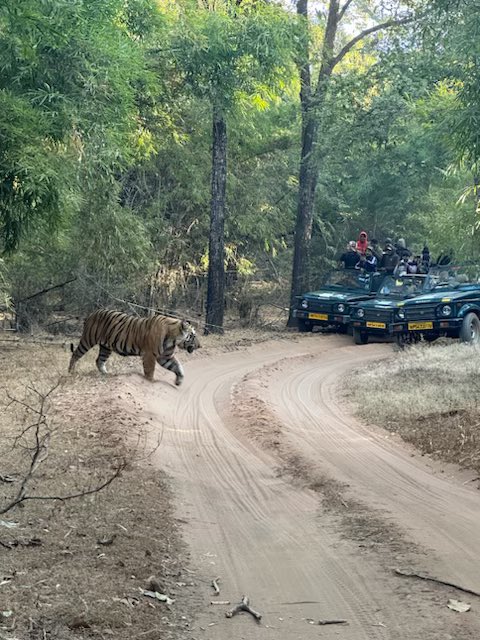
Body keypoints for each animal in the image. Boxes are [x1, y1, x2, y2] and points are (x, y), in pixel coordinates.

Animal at [68, 309, 200, 385]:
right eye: (193, 336)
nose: (200, 346)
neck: (173, 339)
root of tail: (91, 314)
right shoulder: (150, 355)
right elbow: (150, 370)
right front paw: (150, 381)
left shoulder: (165, 357)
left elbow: (177, 366)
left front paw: (179, 381)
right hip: (88, 340)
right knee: (75, 354)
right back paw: (71, 372)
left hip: (105, 347)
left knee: (99, 360)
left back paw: (106, 373)